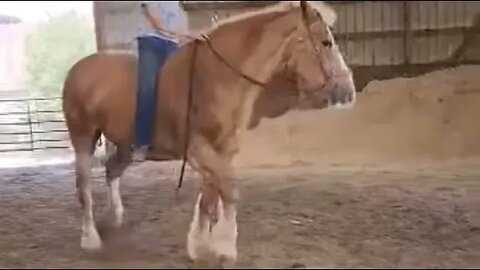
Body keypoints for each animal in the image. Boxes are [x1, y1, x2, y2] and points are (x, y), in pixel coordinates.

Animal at [62, 1, 356, 266]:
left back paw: (115, 218)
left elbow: (210, 198)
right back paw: (90, 238)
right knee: (83, 185)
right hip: (83, 138)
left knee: (111, 170)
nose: (347, 90)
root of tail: (78, 69)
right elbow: (228, 191)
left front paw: (199, 246)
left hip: (125, 146)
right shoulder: (200, 149)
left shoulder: (222, 150)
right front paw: (225, 249)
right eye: (326, 42)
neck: (218, 77)